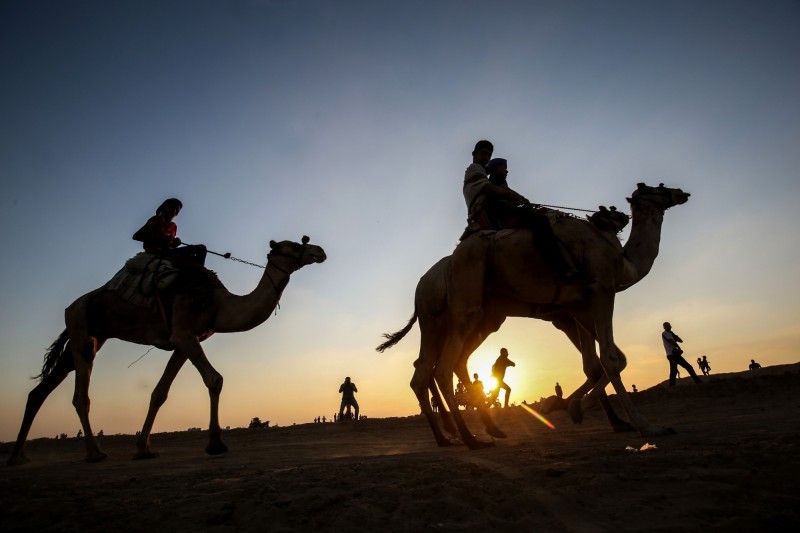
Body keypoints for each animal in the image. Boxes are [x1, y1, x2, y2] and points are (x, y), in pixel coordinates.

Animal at [6, 235, 324, 464]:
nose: (319, 251)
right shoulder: (183, 332)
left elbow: (159, 393)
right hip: (82, 330)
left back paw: (17, 456)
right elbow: (215, 379)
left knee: (41, 390)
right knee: (79, 396)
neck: (218, 303)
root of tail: (70, 307)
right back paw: (94, 453)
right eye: (293, 245)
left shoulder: (186, 341)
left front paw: (143, 449)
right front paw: (216, 444)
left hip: (88, 338)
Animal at [380, 183, 688, 444]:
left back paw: (461, 434)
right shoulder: (597, 293)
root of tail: (427, 279)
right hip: (462, 309)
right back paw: (469, 438)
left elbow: (598, 363)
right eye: (659, 188)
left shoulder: (574, 309)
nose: (682, 192)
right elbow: (608, 360)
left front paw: (574, 407)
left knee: (432, 367)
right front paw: (646, 426)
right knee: (442, 367)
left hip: (460, 320)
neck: (622, 259)